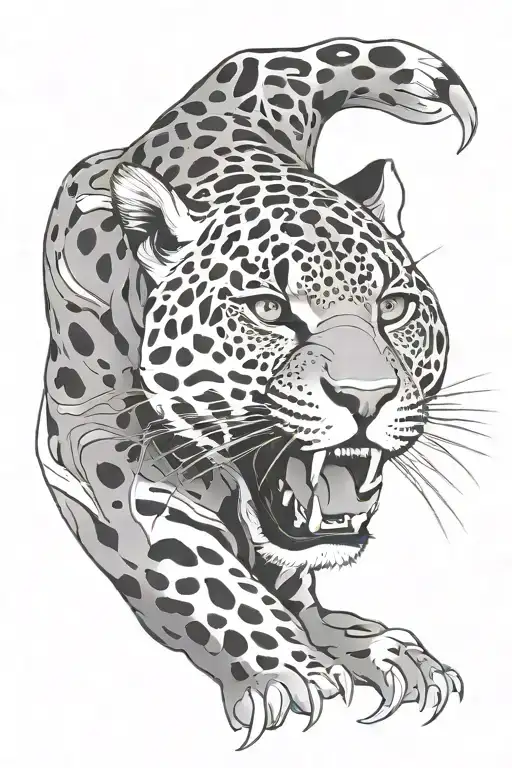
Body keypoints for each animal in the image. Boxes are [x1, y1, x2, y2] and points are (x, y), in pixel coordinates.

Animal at [37, 36, 477, 748]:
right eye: (270, 310)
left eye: (393, 308)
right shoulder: (101, 456)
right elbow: (201, 577)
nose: (367, 397)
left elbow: (290, 573)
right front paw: (288, 672)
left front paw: (362, 647)